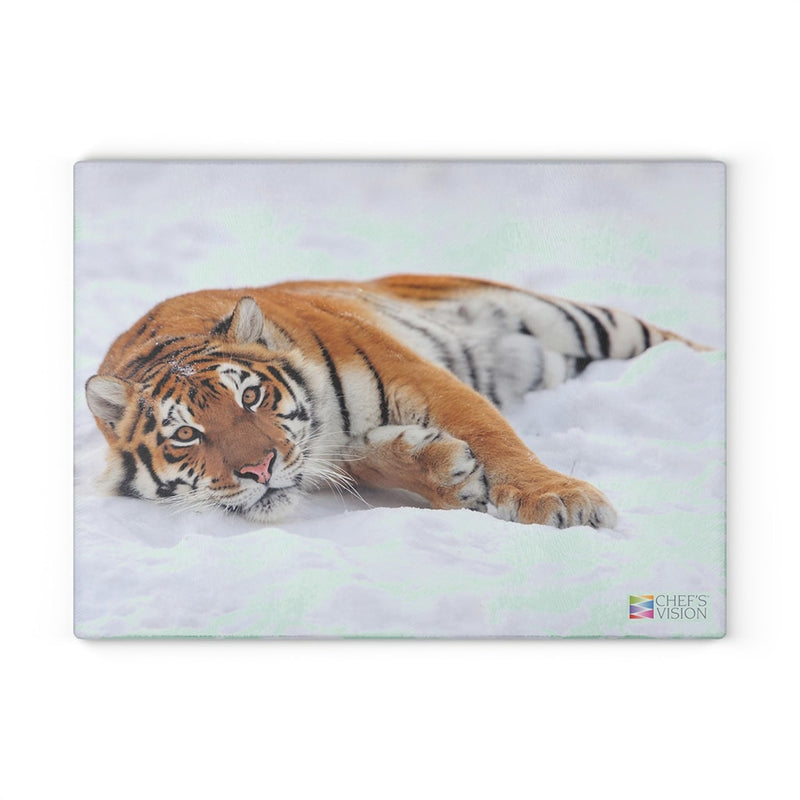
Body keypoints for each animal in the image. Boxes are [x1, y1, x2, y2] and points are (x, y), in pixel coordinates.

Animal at [85, 273, 704, 529]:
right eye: (186, 434)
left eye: (252, 396)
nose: (258, 469)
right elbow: (368, 460)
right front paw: (447, 472)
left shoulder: (414, 372)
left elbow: (492, 433)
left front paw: (560, 500)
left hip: (577, 320)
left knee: (678, 341)